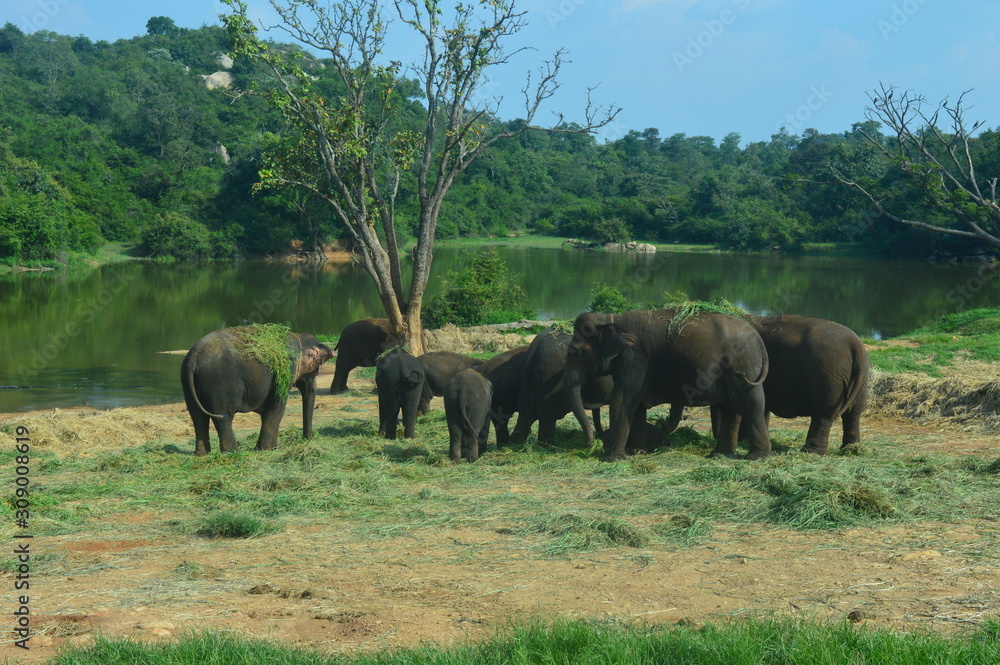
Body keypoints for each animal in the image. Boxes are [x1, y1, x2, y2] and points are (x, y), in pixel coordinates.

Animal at [181, 327, 333, 456]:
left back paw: (202, 454)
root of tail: (193, 357)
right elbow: (276, 407)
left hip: (188, 385)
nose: (306, 441)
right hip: (218, 384)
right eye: (317, 368)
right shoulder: (286, 370)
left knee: (198, 416)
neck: (298, 336)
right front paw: (268, 449)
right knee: (223, 417)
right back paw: (234, 453)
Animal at [568, 309, 770, 461]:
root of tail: (757, 337)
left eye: (578, 352)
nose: (590, 445)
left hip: (744, 366)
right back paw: (720, 455)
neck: (610, 319)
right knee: (730, 409)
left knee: (752, 406)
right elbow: (637, 406)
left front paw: (613, 459)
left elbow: (623, 399)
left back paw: (756, 457)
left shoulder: (635, 358)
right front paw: (637, 452)